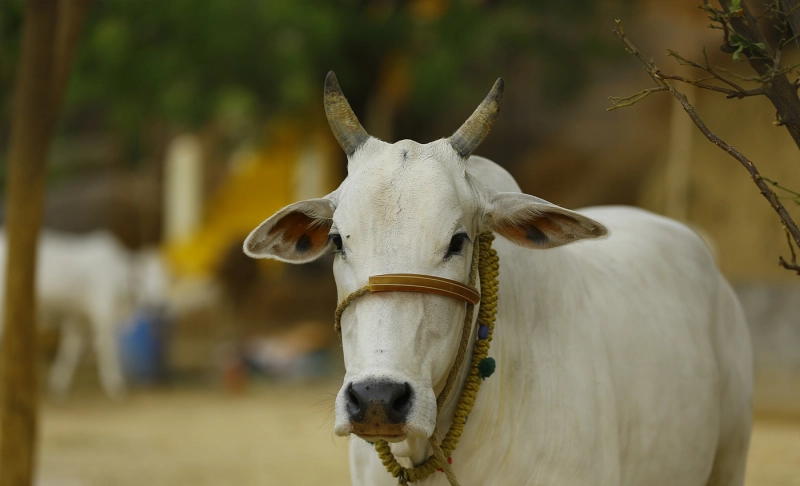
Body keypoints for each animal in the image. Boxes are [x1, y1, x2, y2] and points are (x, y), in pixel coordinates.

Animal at [0, 231, 169, 398]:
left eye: (165, 278)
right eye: (143, 278)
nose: (160, 304)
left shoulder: (77, 317)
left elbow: (70, 350)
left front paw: (59, 382)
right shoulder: (102, 315)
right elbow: (107, 349)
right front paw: (115, 384)